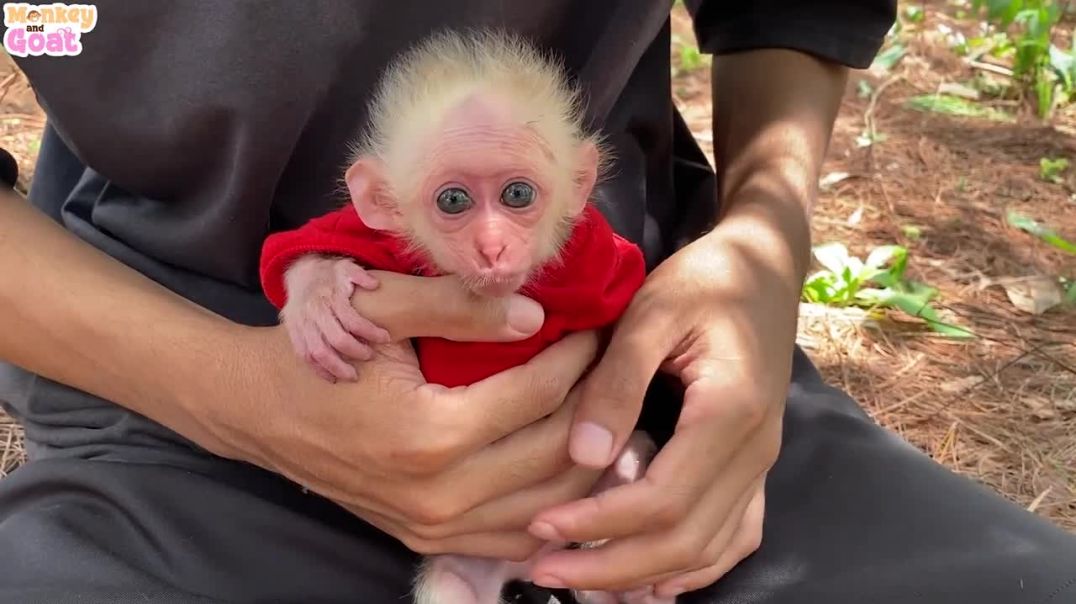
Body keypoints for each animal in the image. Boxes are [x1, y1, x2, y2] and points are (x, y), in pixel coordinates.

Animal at [259, 30, 674, 604]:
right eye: (453, 200)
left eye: (517, 194)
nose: (493, 246)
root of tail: (530, 561)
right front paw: (320, 296)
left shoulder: (599, 258)